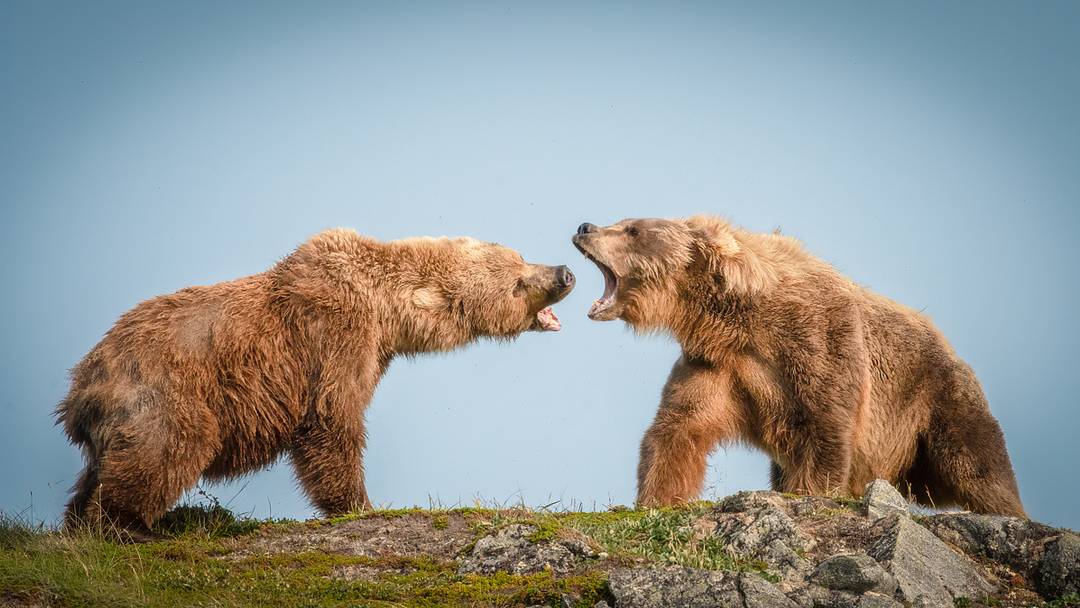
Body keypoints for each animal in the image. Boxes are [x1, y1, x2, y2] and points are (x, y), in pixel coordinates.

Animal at [57, 228, 575, 536]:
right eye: (517, 282)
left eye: (520, 257)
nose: (565, 273)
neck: (385, 310)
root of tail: (80, 385)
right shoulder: (335, 335)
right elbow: (331, 419)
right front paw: (360, 505)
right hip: (166, 391)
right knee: (169, 447)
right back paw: (128, 525)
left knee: (99, 469)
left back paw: (79, 521)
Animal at [572, 216, 1025, 517]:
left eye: (632, 229)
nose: (585, 226)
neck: (737, 319)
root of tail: (953, 350)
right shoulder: (716, 365)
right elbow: (679, 426)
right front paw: (657, 498)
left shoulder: (818, 345)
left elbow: (823, 432)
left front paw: (810, 492)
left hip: (936, 400)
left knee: (977, 465)